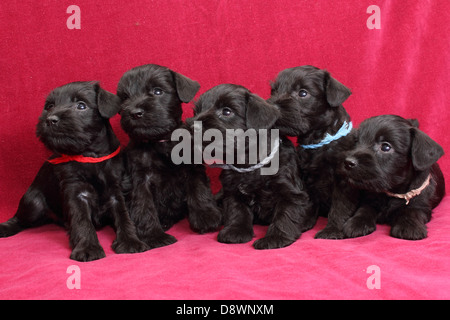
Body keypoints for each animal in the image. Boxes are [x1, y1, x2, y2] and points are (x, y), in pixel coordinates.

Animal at [0, 81, 147, 262]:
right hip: (33, 202)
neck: (89, 156)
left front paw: (130, 241)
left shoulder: (116, 190)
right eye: (49, 106)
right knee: (19, 218)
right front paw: (88, 248)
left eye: (81, 105)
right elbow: (82, 221)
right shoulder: (75, 192)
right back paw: (5, 227)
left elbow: (123, 216)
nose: (50, 119)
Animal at [117, 63, 221, 248]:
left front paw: (206, 217)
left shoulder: (193, 168)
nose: (135, 112)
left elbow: (199, 190)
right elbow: (144, 207)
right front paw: (155, 236)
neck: (160, 142)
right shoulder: (139, 180)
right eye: (124, 97)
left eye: (158, 91)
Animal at [189, 85, 312, 250]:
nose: (192, 127)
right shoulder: (232, 192)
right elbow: (238, 212)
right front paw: (235, 231)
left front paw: (275, 237)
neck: (248, 162)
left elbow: (285, 215)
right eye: (197, 111)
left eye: (227, 111)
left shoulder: (290, 192)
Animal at [268, 65, 356, 238]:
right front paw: (303, 222)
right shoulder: (307, 178)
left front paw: (332, 230)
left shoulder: (342, 181)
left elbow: (340, 207)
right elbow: (309, 201)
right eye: (274, 91)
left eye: (303, 93)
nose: (272, 108)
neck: (318, 141)